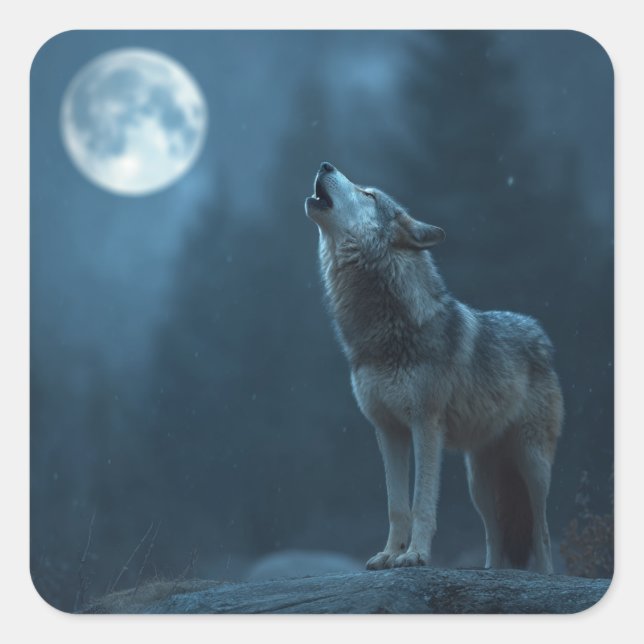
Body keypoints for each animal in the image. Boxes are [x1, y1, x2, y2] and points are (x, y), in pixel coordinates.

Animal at [305, 162, 563, 574]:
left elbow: (421, 503)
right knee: (495, 534)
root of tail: (539, 334)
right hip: (480, 483)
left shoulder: (426, 425)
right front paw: (390, 554)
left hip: (532, 466)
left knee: (543, 532)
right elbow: (397, 506)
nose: (325, 164)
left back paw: (544, 575)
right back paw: (491, 572)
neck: (384, 331)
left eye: (368, 194)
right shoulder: (388, 430)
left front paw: (415, 556)